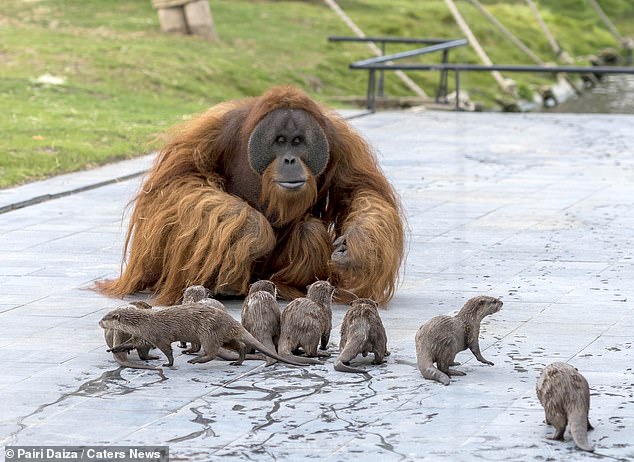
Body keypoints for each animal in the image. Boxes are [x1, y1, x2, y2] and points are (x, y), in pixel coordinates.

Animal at [99, 304, 308, 366]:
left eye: (105, 317)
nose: (99, 322)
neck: (144, 323)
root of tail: (230, 321)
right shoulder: (143, 336)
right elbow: (130, 343)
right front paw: (114, 348)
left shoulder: (158, 336)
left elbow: (167, 350)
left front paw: (169, 363)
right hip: (223, 336)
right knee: (238, 345)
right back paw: (237, 362)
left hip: (208, 333)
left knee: (212, 352)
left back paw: (196, 360)